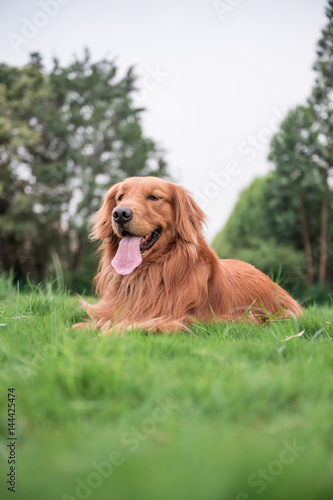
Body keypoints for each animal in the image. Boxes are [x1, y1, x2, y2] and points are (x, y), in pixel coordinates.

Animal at [74, 176, 300, 332]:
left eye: (154, 197)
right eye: (120, 197)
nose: (120, 213)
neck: (146, 274)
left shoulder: (185, 319)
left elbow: (135, 324)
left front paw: (109, 331)